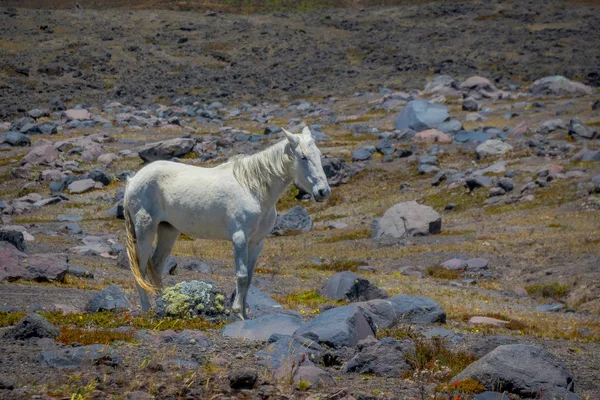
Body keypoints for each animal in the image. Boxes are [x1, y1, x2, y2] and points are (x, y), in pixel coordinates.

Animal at [123, 127, 330, 318]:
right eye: (303, 157)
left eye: (319, 155)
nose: (323, 192)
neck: (253, 189)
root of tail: (133, 180)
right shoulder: (239, 239)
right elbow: (242, 276)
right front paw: (238, 312)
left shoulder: (257, 242)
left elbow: (250, 278)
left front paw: (245, 313)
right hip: (145, 230)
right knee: (140, 268)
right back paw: (146, 308)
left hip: (168, 231)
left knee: (156, 266)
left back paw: (162, 302)